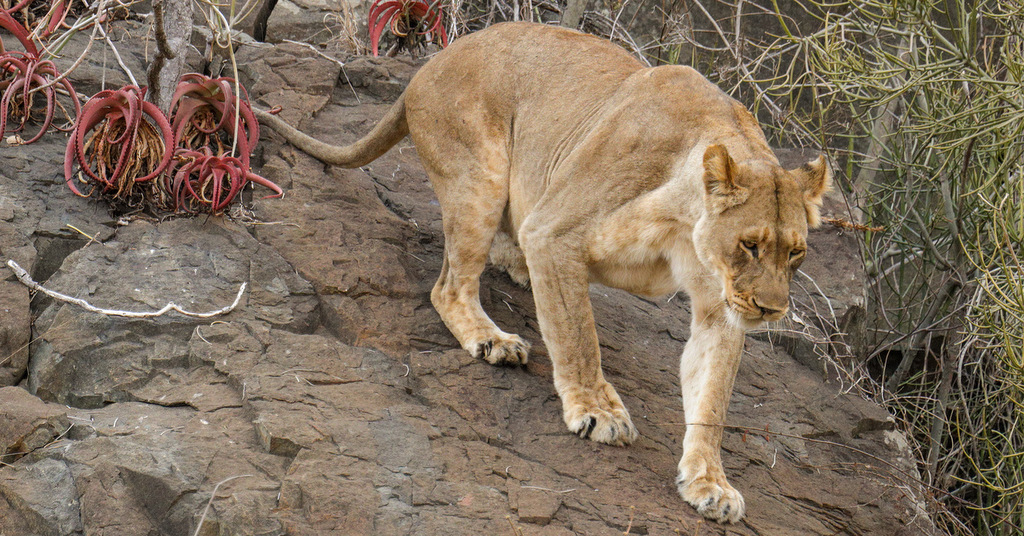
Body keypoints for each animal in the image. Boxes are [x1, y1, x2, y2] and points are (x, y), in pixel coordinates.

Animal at [255, 21, 830, 523]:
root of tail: (431, 64)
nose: (772, 310)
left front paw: (711, 483)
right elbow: (578, 335)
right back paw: (494, 340)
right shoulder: (554, 231)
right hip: (480, 176)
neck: (684, 218)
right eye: (750, 245)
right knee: (448, 287)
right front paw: (599, 411)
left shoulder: (719, 304)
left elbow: (711, 397)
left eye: (796, 253)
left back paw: (516, 271)